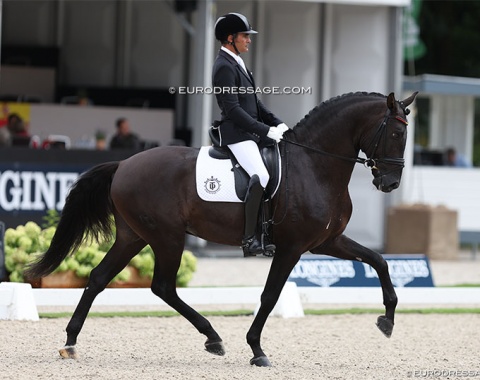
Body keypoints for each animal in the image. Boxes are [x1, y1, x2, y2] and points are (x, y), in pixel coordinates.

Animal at [26, 90, 416, 366]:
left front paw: (387, 320)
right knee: (162, 287)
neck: (315, 164)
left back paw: (70, 342)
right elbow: (270, 295)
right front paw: (257, 349)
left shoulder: (327, 241)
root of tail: (123, 164)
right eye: (397, 133)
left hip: (134, 236)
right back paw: (213, 337)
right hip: (167, 236)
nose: (391, 183)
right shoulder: (292, 247)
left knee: (98, 278)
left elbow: (379, 261)